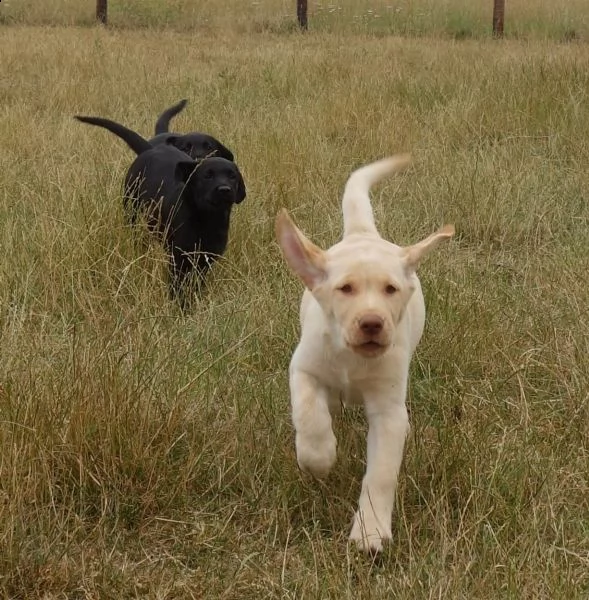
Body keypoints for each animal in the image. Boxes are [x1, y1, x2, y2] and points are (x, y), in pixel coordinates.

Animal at [75, 113, 246, 300]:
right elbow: (177, 286)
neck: (206, 217)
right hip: (131, 208)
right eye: (207, 176)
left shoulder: (205, 259)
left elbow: (196, 284)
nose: (224, 189)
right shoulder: (178, 257)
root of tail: (150, 149)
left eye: (232, 176)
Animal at [276, 156, 454, 552]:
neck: (352, 360)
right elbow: (308, 414)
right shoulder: (304, 369)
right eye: (345, 289)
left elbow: (382, 473)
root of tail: (362, 233)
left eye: (391, 289)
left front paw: (370, 530)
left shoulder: (388, 411)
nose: (372, 323)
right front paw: (318, 458)